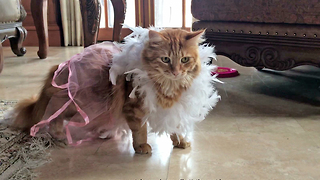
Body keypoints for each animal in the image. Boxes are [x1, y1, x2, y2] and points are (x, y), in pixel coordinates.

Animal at [10, 28, 212, 153]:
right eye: (165, 59)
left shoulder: (171, 109)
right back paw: (60, 136)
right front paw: (141, 147)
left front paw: (180, 141)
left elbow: (174, 126)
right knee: (54, 116)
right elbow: (140, 130)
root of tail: (60, 67)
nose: (176, 72)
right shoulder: (135, 108)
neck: (169, 87)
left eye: (184, 60)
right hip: (76, 105)